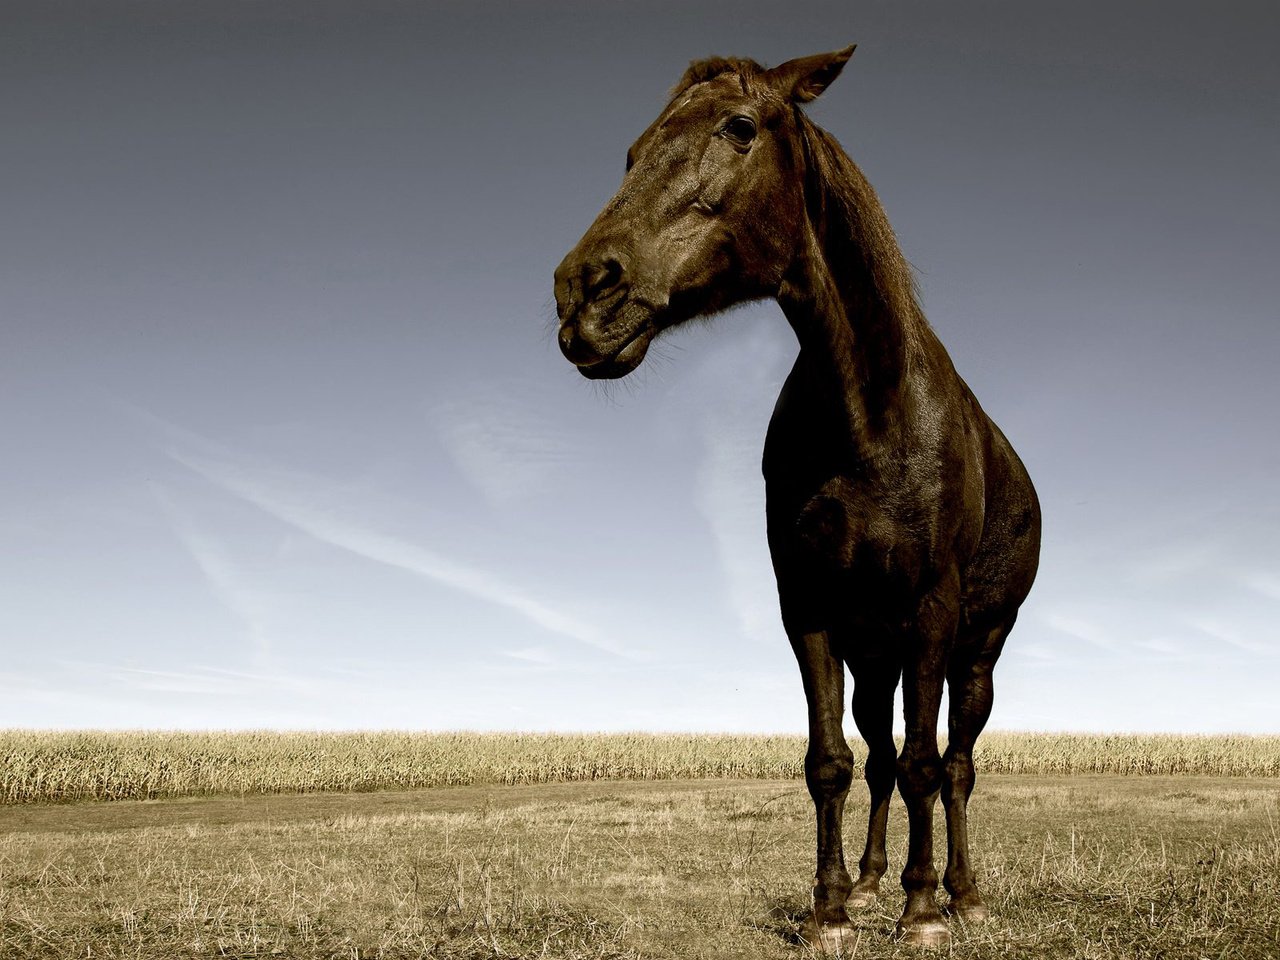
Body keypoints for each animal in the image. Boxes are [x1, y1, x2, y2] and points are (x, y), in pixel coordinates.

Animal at [552, 45, 1039, 947]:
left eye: (739, 128)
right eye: (633, 152)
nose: (583, 292)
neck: (871, 412)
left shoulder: (931, 610)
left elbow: (927, 764)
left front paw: (923, 912)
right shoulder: (809, 608)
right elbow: (831, 763)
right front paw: (833, 910)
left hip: (978, 650)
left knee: (954, 764)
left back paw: (960, 892)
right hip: (875, 657)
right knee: (880, 759)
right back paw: (879, 881)